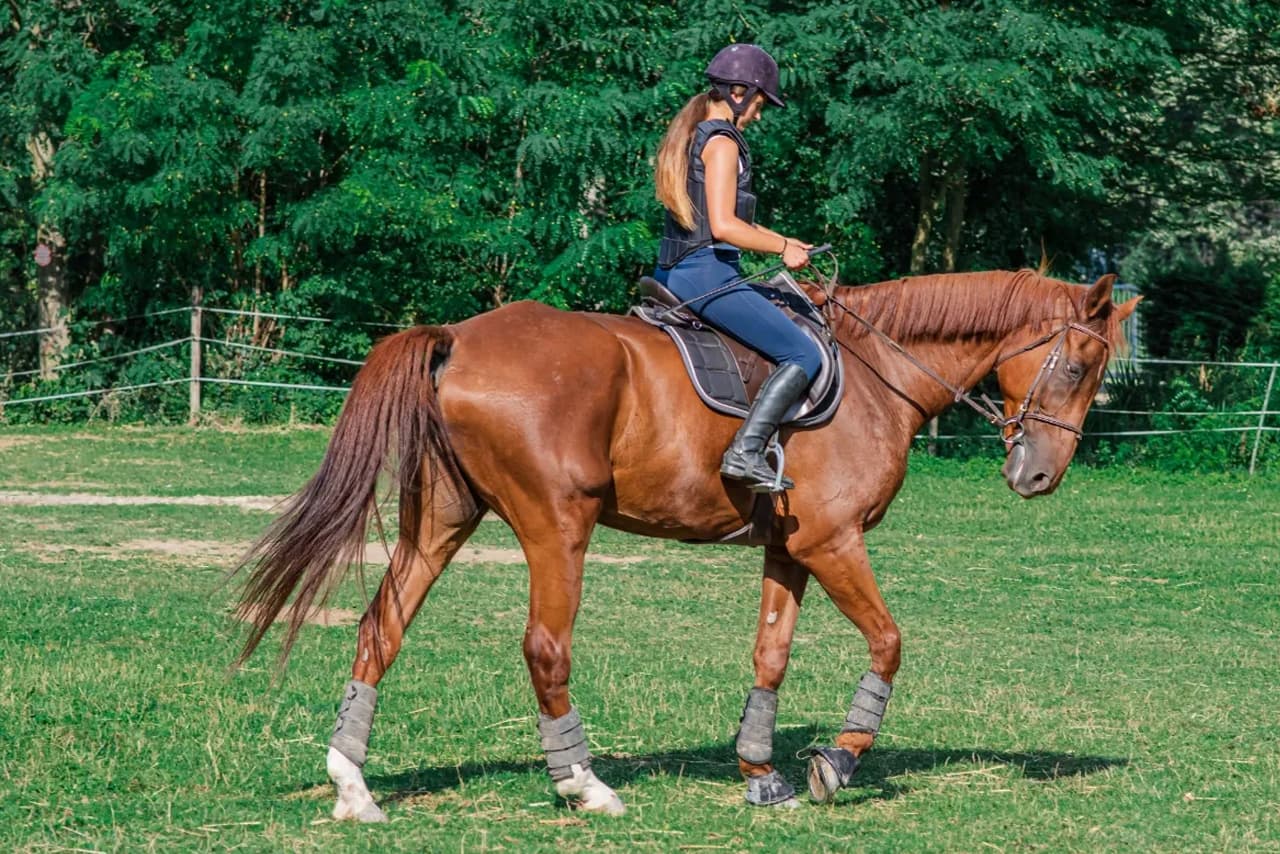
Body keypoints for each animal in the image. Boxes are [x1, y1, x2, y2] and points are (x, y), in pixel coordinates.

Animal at [234, 268, 1138, 820]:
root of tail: (458, 337)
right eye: (1077, 364)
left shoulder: (790, 551)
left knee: (381, 626)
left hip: (443, 521)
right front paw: (837, 763)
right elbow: (888, 642)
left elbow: (770, 656)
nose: (1038, 476)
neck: (876, 375)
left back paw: (354, 787)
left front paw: (760, 773)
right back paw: (584, 784)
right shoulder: (834, 543)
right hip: (557, 526)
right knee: (545, 649)